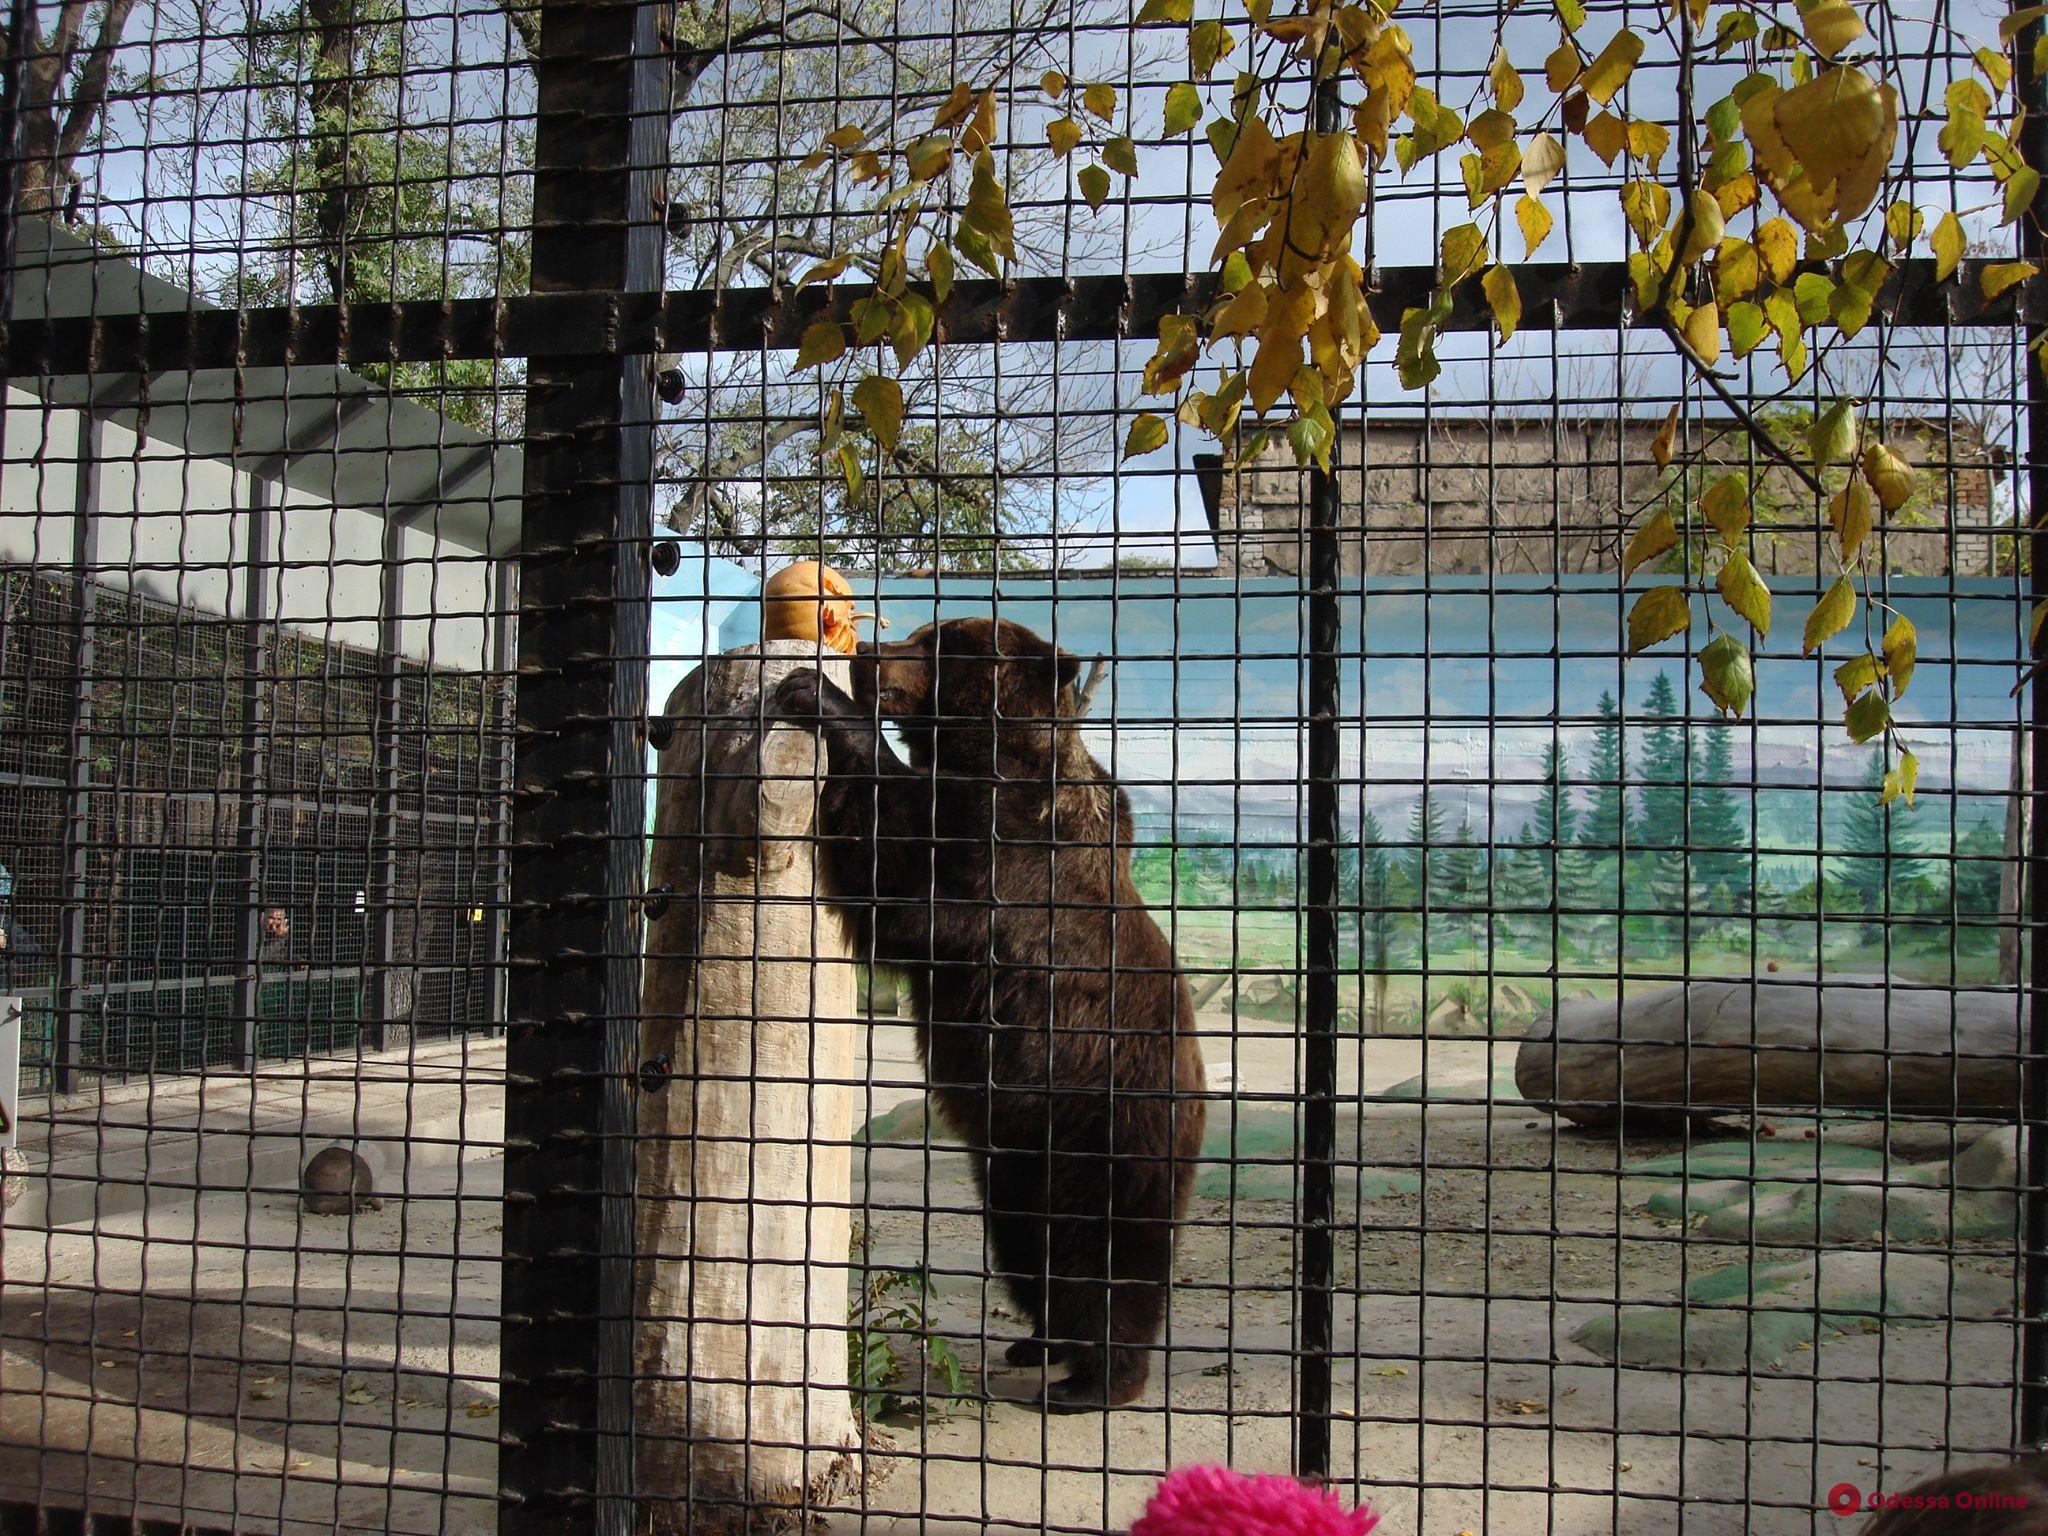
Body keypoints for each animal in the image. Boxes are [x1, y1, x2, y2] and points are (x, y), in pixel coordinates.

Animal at [778, 618, 1196, 1417]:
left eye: (939, 644)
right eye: (917, 634)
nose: (869, 653)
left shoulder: (1016, 866)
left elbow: (905, 884)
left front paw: (816, 696)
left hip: (1104, 1132)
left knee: (1103, 1261)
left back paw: (1096, 1380)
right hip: (1014, 1170)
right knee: (1026, 1251)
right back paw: (1041, 1342)